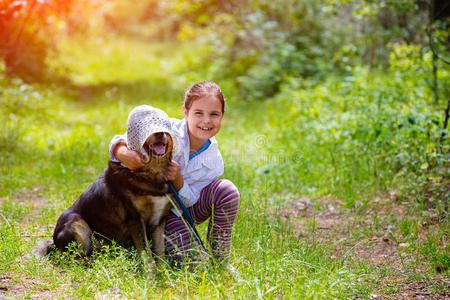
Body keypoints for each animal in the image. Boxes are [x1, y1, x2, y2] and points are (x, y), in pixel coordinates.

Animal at [36, 132, 173, 262]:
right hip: (77, 224)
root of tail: (54, 244)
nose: (159, 133)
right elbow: (147, 254)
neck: (152, 171)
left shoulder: (159, 221)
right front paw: (151, 272)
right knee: (73, 258)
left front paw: (163, 270)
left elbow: (160, 252)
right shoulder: (135, 220)